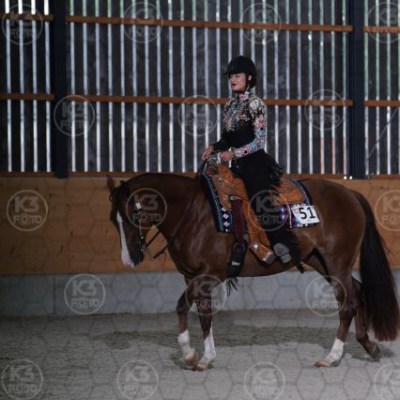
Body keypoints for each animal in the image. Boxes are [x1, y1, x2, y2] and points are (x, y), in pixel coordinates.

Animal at [107, 171, 400, 370]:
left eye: (135, 213)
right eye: (113, 219)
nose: (129, 259)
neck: (194, 215)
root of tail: (350, 194)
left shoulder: (208, 274)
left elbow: (181, 307)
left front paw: (189, 354)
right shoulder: (194, 277)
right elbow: (204, 316)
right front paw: (206, 358)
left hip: (337, 260)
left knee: (347, 302)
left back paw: (332, 357)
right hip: (321, 261)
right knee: (357, 292)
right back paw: (369, 346)